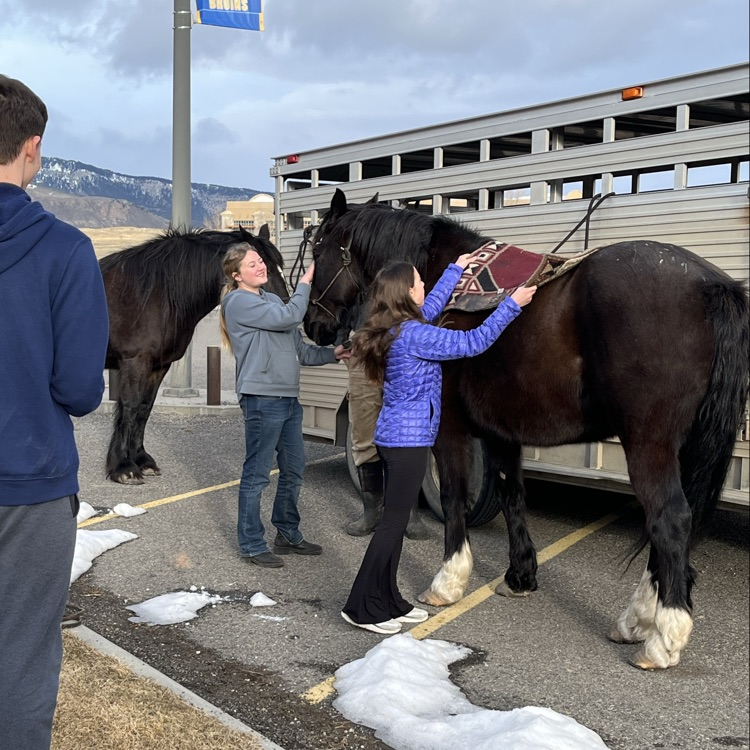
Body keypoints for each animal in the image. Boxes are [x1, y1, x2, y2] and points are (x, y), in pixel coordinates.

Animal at [100, 224, 288, 485]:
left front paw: (142, 460)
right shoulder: (134, 363)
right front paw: (123, 467)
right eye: (262, 268)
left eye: (279, 267)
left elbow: (144, 408)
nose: (285, 305)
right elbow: (129, 408)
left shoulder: (158, 366)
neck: (156, 293)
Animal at [303, 187, 749, 670]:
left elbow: (454, 495)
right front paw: (519, 575)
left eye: (319, 249)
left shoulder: (450, 428)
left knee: (670, 519)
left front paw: (448, 582)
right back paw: (638, 619)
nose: (313, 325)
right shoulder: (501, 431)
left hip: (649, 443)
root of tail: (708, 285)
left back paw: (662, 638)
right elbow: (511, 494)